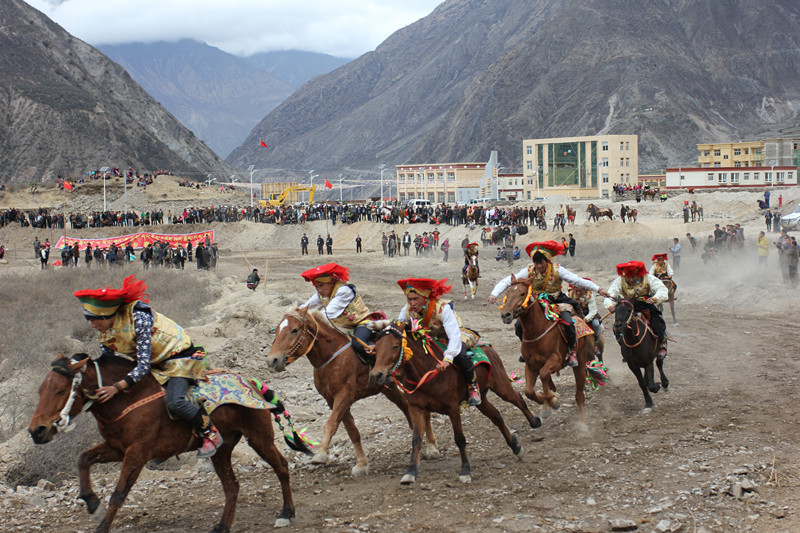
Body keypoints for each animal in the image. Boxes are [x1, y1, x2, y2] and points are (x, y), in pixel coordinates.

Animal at [28, 354, 298, 532]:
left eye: (61, 391)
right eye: (40, 390)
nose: (37, 430)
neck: (127, 399)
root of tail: (251, 382)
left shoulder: (137, 453)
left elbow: (118, 494)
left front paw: (102, 524)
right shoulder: (117, 448)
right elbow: (83, 458)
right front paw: (92, 503)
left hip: (259, 438)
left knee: (282, 466)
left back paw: (286, 513)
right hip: (221, 450)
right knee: (232, 486)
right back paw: (222, 526)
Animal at [264, 306, 438, 476]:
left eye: (294, 330)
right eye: (277, 329)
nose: (272, 360)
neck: (332, 357)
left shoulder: (344, 395)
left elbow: (331, 424)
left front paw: (321, 454)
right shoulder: (333, 400)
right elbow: (352, 430)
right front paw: (361, 464)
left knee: (424, 411)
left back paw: (431, 447)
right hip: (389, 389)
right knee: (406, 406)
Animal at [370, 322, 544, 484]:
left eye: (394, 346)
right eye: (376, 348)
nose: (377, 375)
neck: (426, 372)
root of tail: (488, 347)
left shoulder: (452, 408)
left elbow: (460, 439)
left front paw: (465, 471)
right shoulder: (416, 408)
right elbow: (416, 439)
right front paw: (411, 472)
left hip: (501, 385)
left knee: (517, 399)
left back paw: (535, 421)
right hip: (481, 399)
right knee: (496, 416)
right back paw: (515, 446)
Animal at [496, 276, 596, 426]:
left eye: (522, 294)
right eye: (507, 294)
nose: (505, 315)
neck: (537, 331)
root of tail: (581, 319)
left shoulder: (556, 360)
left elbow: (543, 375)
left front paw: (553, 400)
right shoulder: (531, 365)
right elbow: (529, 391)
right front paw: (547, 401)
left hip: (580, 362)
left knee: (579, 395)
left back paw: (583, 423)